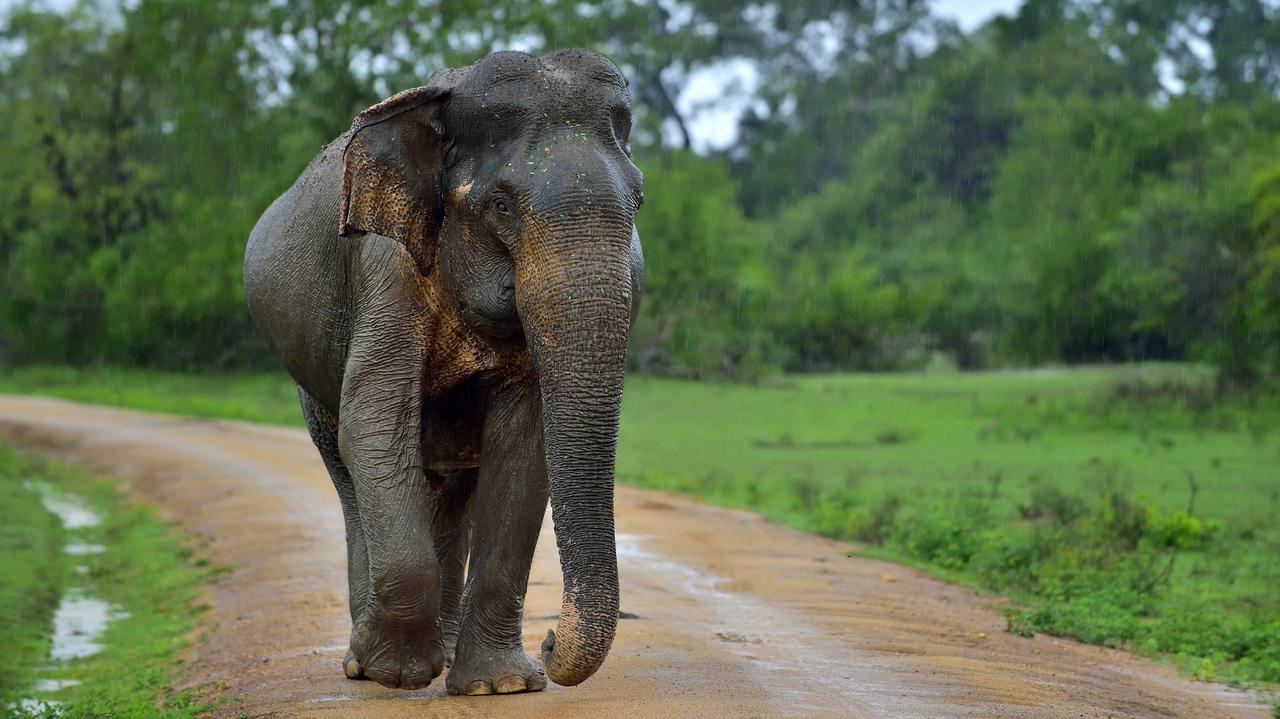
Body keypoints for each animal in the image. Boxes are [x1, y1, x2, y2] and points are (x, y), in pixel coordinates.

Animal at [240, 47, 645, 690]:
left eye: (639, 202)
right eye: (501, 205)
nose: (551, 642)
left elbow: (522, 446)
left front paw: (500, 684)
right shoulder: (384, 262)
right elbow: (375, 422)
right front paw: (397, 674)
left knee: (453, 493)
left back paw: (448, 655)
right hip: (311, 386)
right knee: (349, 470)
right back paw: (362, 663)